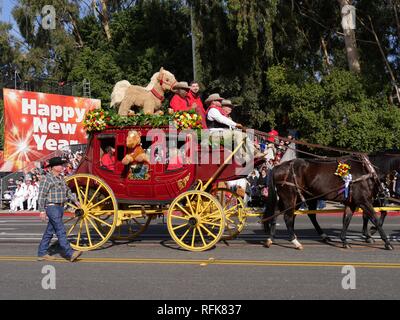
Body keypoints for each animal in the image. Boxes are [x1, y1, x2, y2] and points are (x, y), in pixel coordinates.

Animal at [262, 155, 394, 250]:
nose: (385, 195)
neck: (366, 171)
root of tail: (278, 167)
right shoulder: (364, 201)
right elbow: (375, 219)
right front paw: (386, 242)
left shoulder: (352, 203)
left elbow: (347, 220)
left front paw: (344, 240)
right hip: (290, 196)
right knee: (288, 217)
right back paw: (295, 241)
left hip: (297, 197)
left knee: (279, 213)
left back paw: (271, 238)